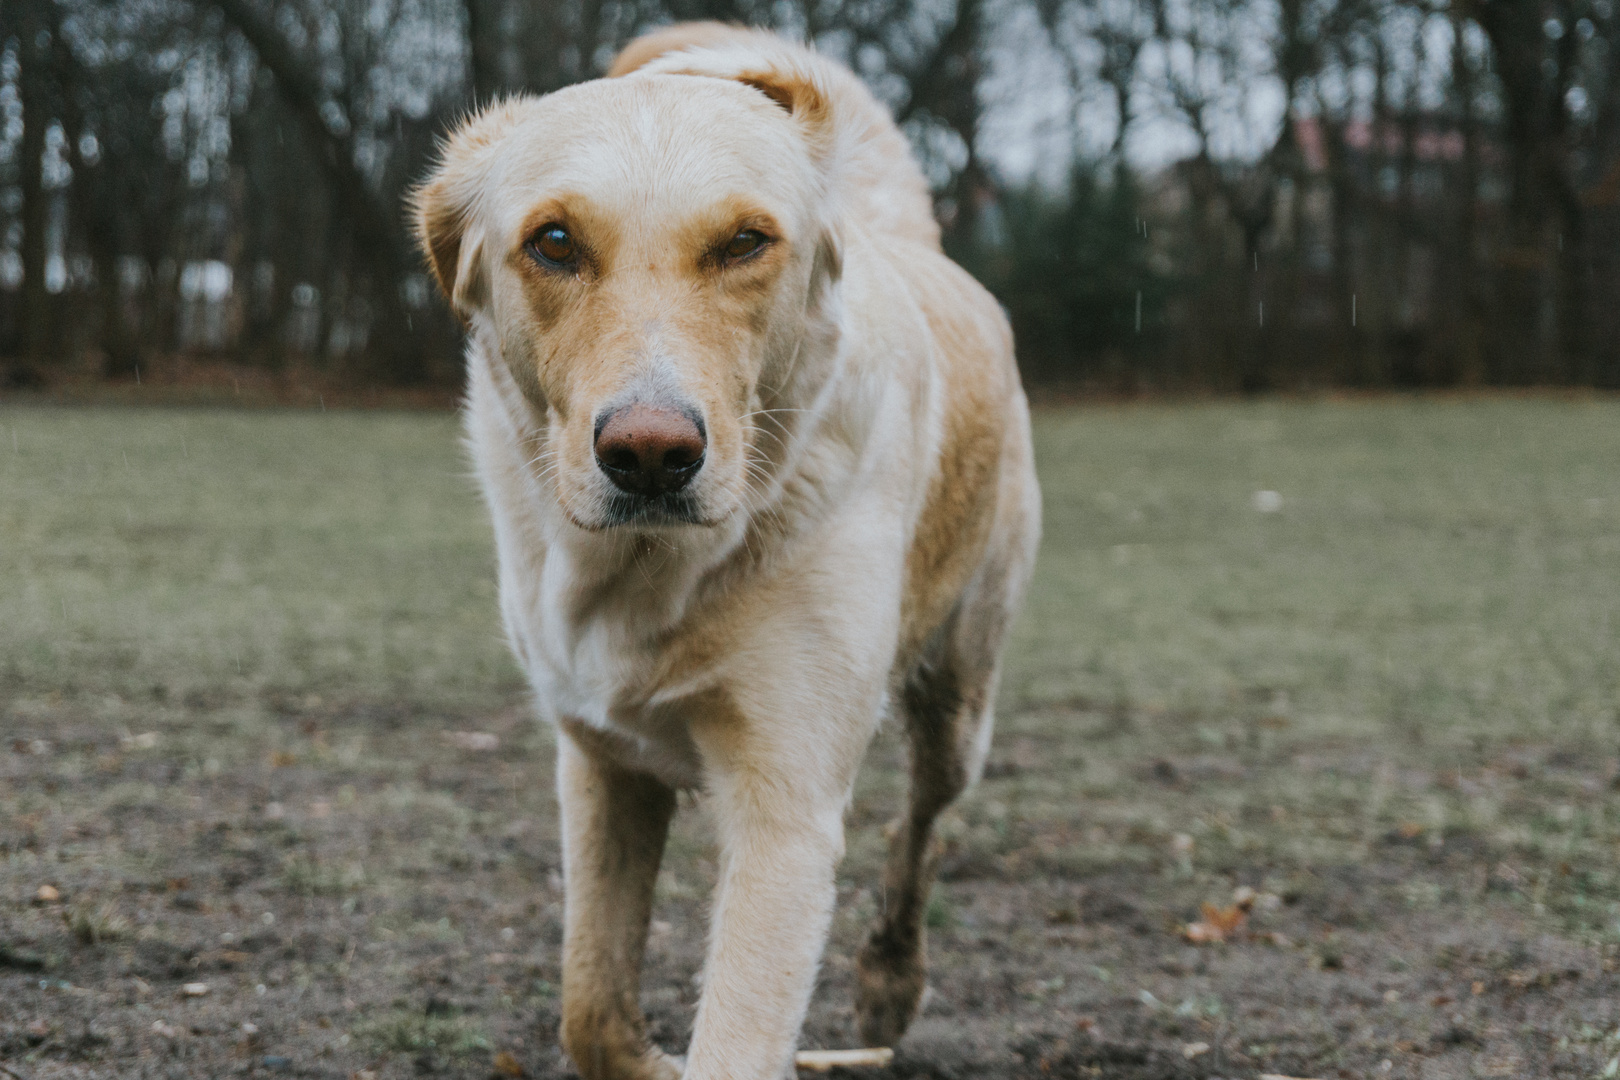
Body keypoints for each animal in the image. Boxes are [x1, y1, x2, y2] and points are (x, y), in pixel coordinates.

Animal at [408, 23, 1036, 1080]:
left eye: (744, 241)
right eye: (554, 243)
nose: (651, 455)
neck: (651, 570)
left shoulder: (786, 807)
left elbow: (735, 1038)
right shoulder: (599, 761)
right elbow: (590, 1009)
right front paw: (646, 1056)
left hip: (962, 696)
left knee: (923, 826)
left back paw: (890, 979)